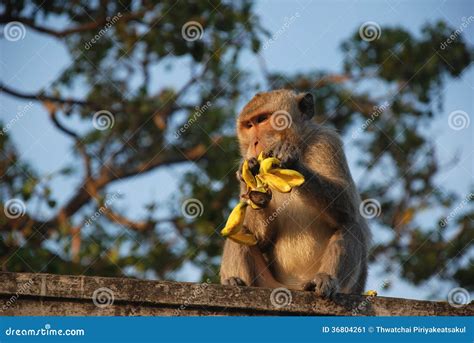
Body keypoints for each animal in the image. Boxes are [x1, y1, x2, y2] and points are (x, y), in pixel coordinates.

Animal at [220, 89, 372, 298]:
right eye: (249, 125)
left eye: (262, 119)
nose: (254, 142)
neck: (300, 143)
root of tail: (294, 286)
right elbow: (260, 239)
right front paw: (253, 188)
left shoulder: (326, 142)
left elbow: (348, 204)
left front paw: (290, 161)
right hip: (268, 283)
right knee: (240, 230)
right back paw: (236, 282)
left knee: (350, 223)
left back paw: (324, 279)